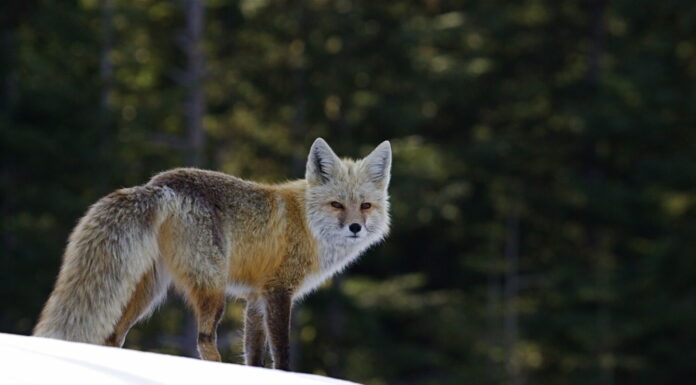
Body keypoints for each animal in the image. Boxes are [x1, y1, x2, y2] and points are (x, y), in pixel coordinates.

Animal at [32, 138, 392, 368]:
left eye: (365, 206)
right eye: (336, 205)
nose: (355, 227)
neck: (306, 224)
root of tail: (158, 184)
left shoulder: (255, 298)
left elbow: (254, 355)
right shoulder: (278, 291)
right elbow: (282, 353)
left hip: (148, 292)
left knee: (113, 336)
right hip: (213, 288)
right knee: (204, 338)